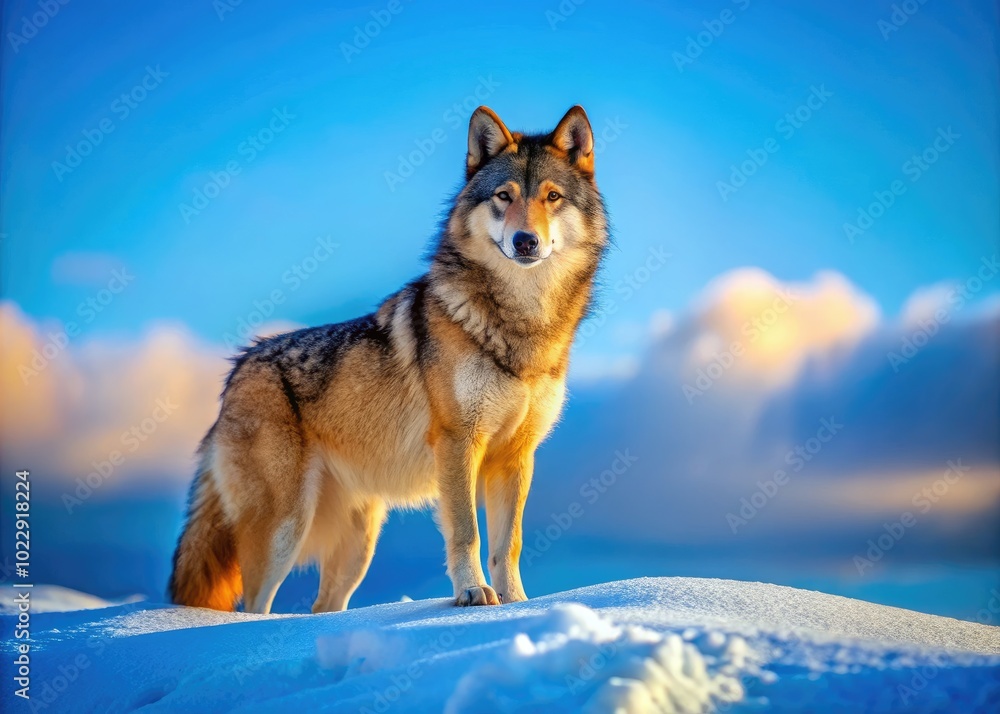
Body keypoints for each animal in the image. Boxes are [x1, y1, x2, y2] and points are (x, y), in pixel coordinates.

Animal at [168, 105, 609, 613]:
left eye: (552, 197)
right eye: (504, 196)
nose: (525, 242)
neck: (522, 323)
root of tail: (237, 368)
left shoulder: (515, 457)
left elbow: (509, 543)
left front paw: (517, 604)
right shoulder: (458, 442)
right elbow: (467, 533)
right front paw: (472, 594)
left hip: (358, 546)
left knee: (323, 609)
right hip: (284, 529)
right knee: (256, 608)